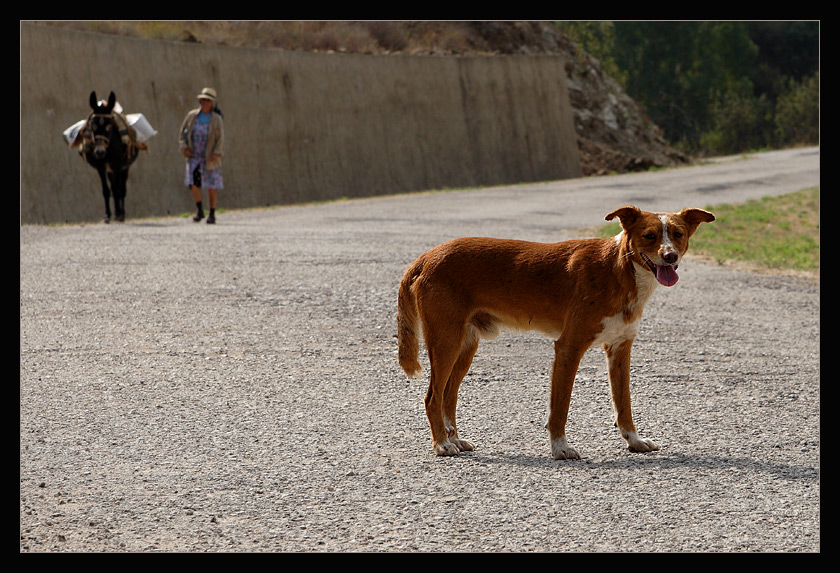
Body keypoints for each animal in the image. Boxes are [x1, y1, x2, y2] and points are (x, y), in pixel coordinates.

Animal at [398, 206, 716, 460]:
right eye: (649, 236)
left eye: (677, 234)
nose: (670, 256)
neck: (619, 269)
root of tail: (425, 257)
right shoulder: (568, 347)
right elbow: (560, 406)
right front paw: (560, 448)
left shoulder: (620, 348)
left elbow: (624, 404)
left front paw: (634, 441)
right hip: (446, 342)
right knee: (432, 397)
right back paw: (441, 444)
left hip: (464, 346)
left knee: (448, 396)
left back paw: (453, 438)